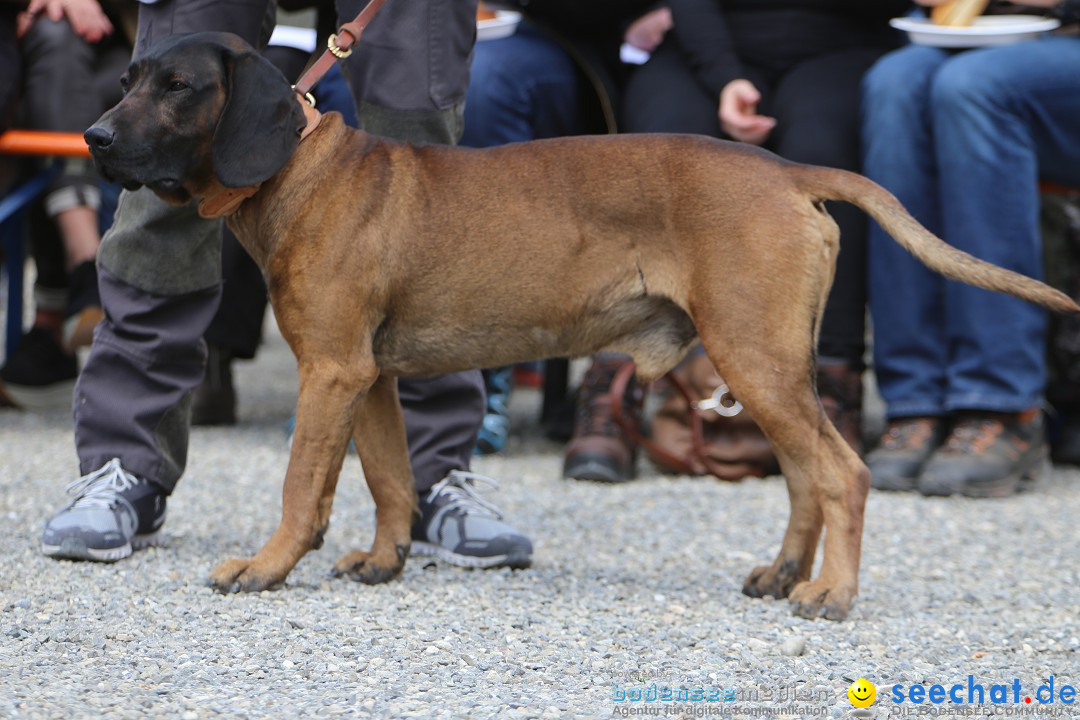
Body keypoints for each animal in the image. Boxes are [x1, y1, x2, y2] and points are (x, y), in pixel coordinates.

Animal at [86, 33, 1080, 621]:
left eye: (178, 87)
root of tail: (786, 170)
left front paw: (266, 566)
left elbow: (303, 487)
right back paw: (784, 574)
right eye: (127, 79)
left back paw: (831, 592)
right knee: (808, 477)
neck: (300, 170)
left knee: (845, 473)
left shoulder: (330, 373)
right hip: (766, 366)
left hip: (757, 360)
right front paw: (383, 560)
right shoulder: (368, 378)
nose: (93, 138)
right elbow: (391, 479)